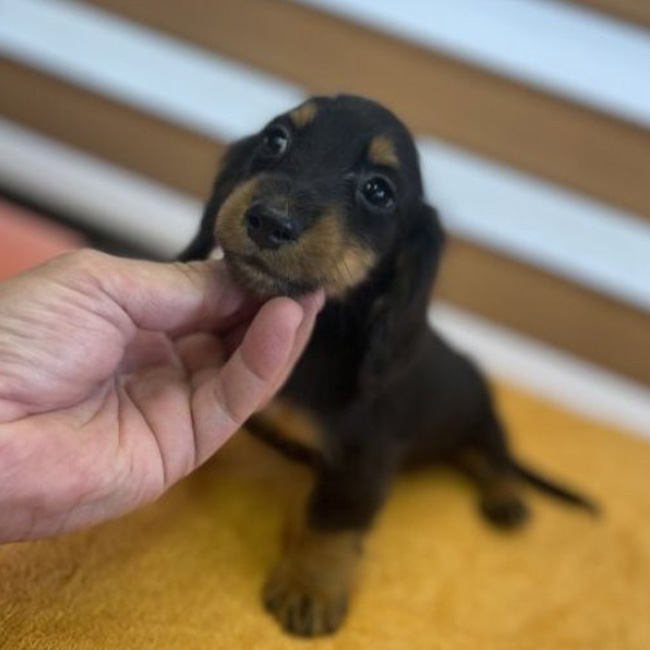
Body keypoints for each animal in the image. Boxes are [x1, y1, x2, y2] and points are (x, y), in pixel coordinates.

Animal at [180, 95, 596, 632]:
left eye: (378, 191)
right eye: (275, 139)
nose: (269, 222)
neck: (322, 337)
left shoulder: (365, 459)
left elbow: (331, 525)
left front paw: (310, 586)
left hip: (482, 419)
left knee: (495, 458)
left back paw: (505, 497)